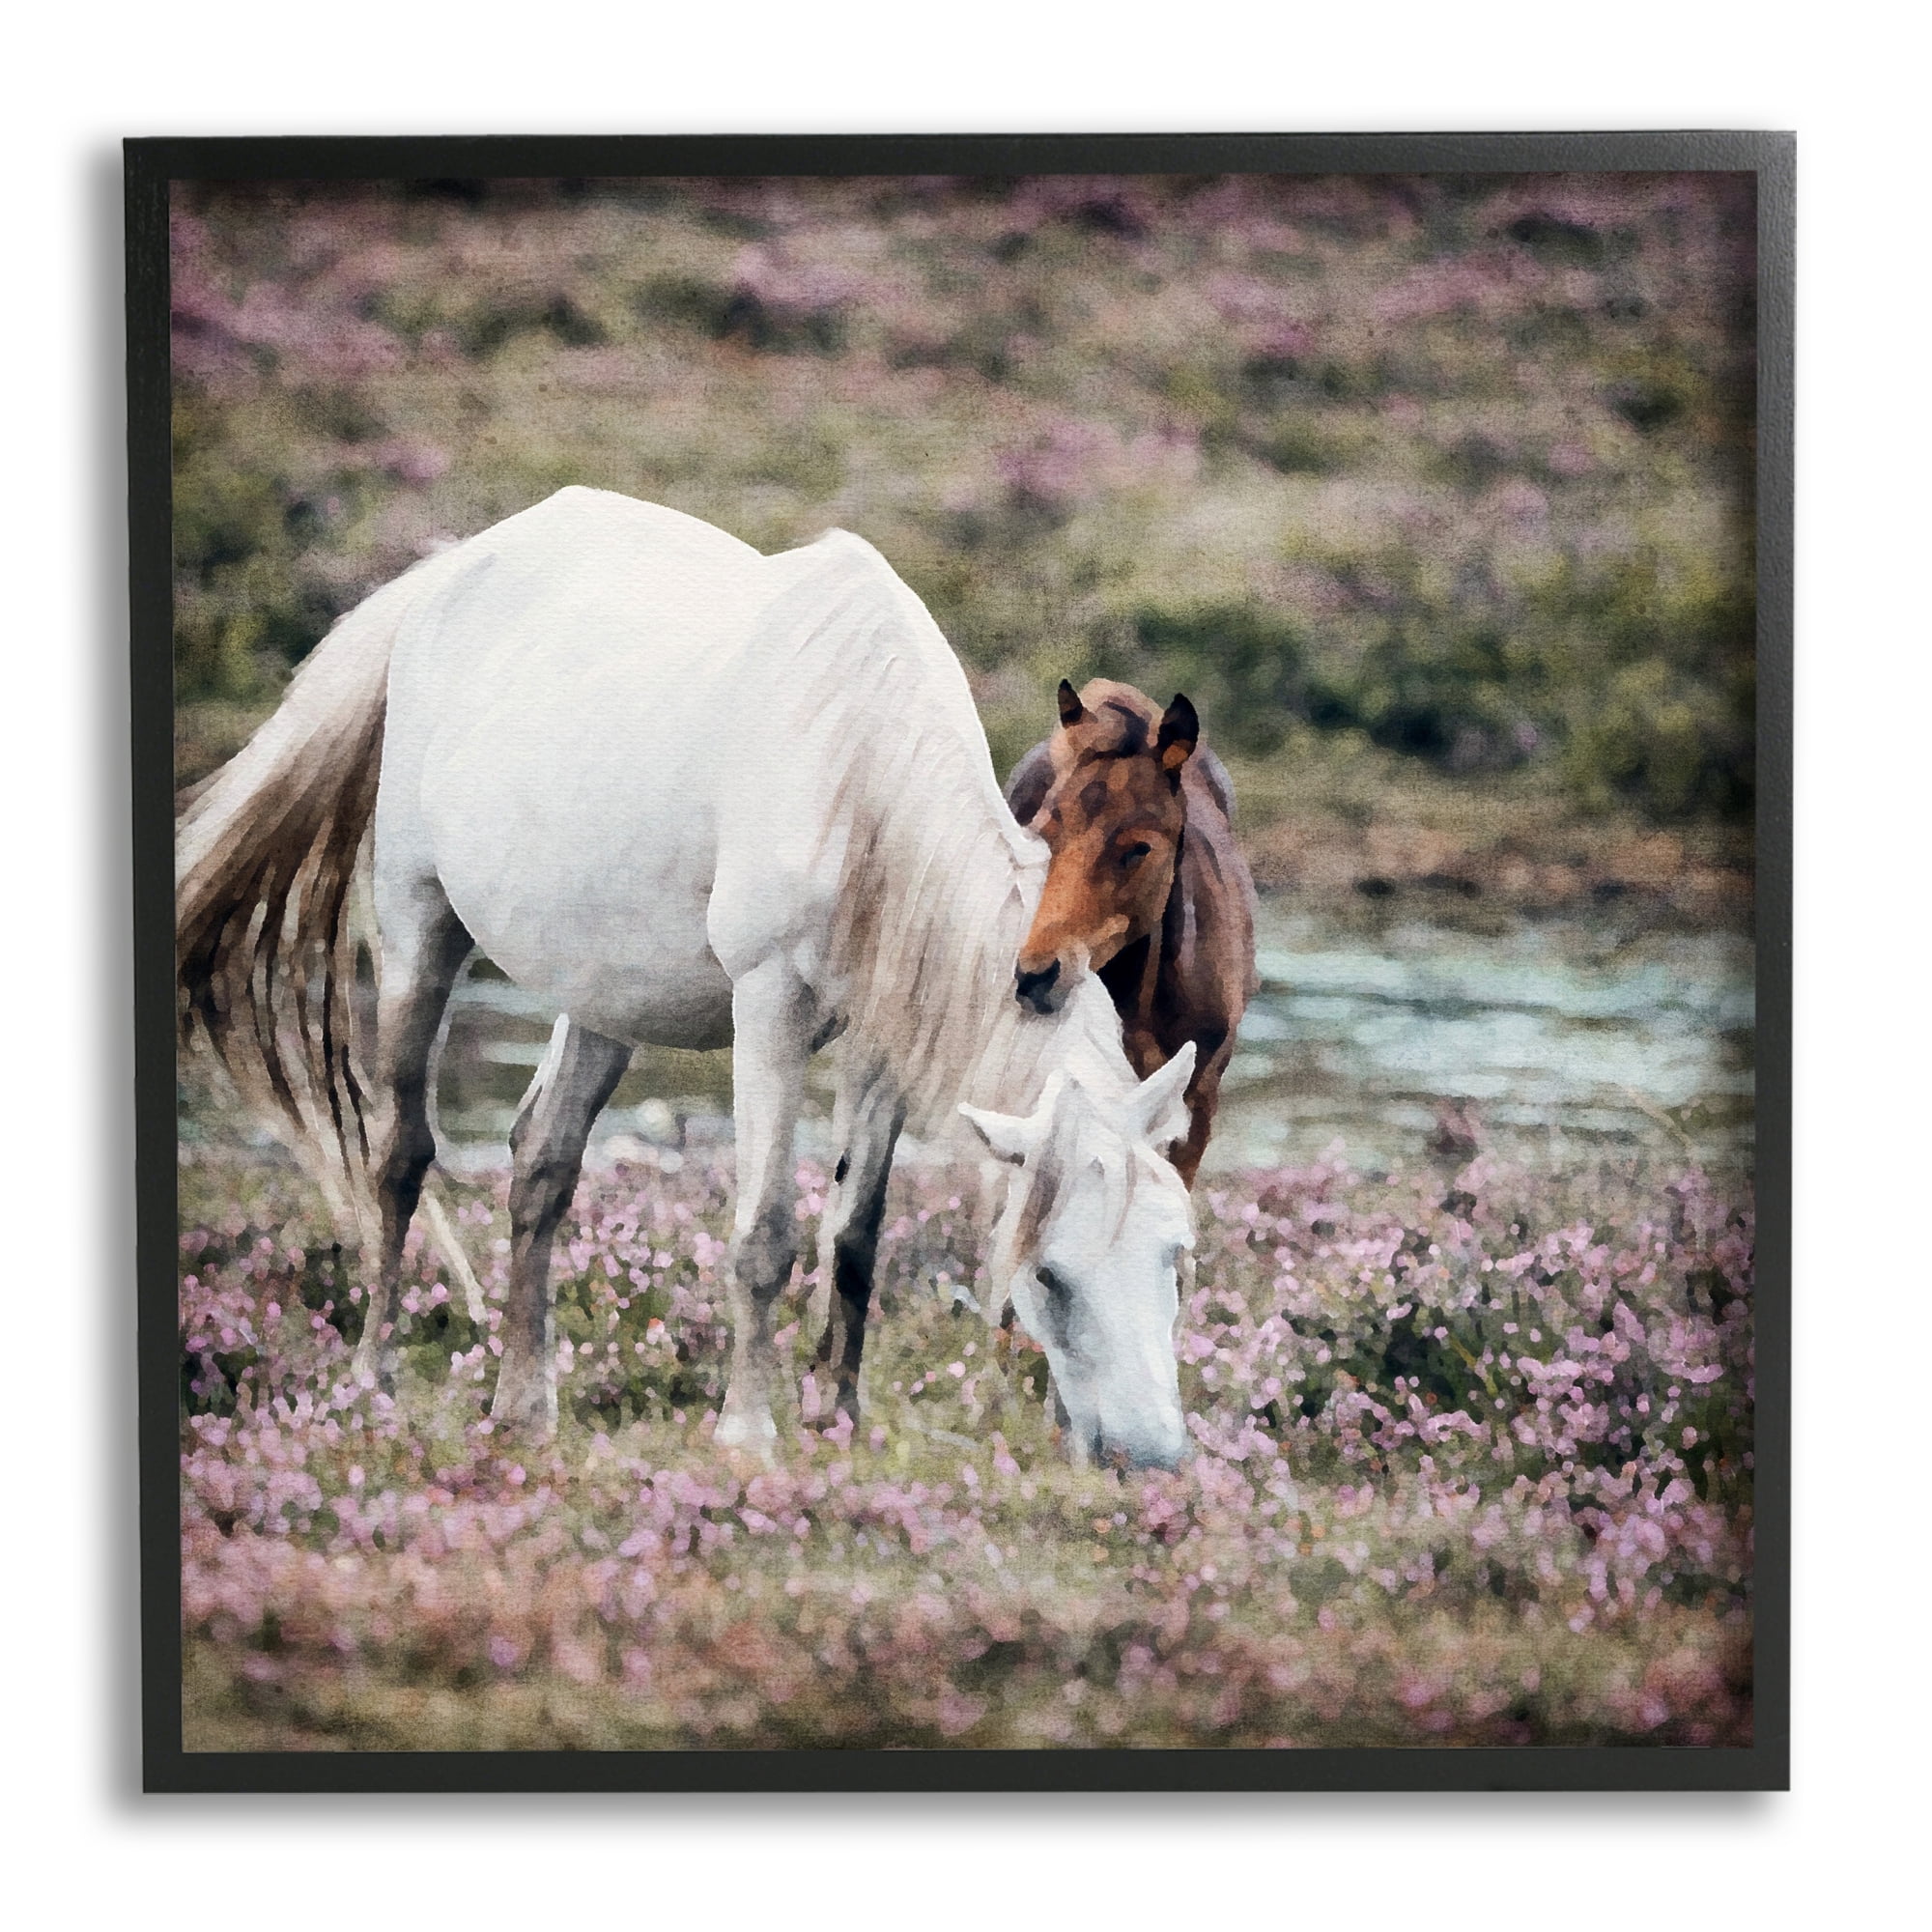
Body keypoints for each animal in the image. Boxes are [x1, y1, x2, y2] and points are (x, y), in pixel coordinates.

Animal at [176, 488, 1198, 1468]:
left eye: (1175, 1255)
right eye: (1050, 1276)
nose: (1150, 1456)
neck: (857, 771)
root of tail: (449, 572)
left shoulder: (883, 1038)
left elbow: (855, 1236)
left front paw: (843, 1420)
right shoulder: (770, 1008)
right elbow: (765, 1234)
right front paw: (749, 1432)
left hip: (604, 992)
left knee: (540, 1161)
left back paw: (523, 1407)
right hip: (417, 925)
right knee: (399, 1157)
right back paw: (373, 1382)